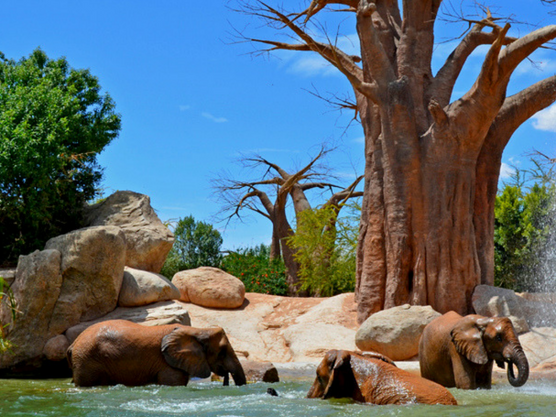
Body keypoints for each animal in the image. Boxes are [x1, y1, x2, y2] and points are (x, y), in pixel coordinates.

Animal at [66, 318, 247, 386]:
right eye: (222, 352)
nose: (225, 378)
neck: (197, 330)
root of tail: (73, 344)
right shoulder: (168, 365)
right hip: (88, 361)